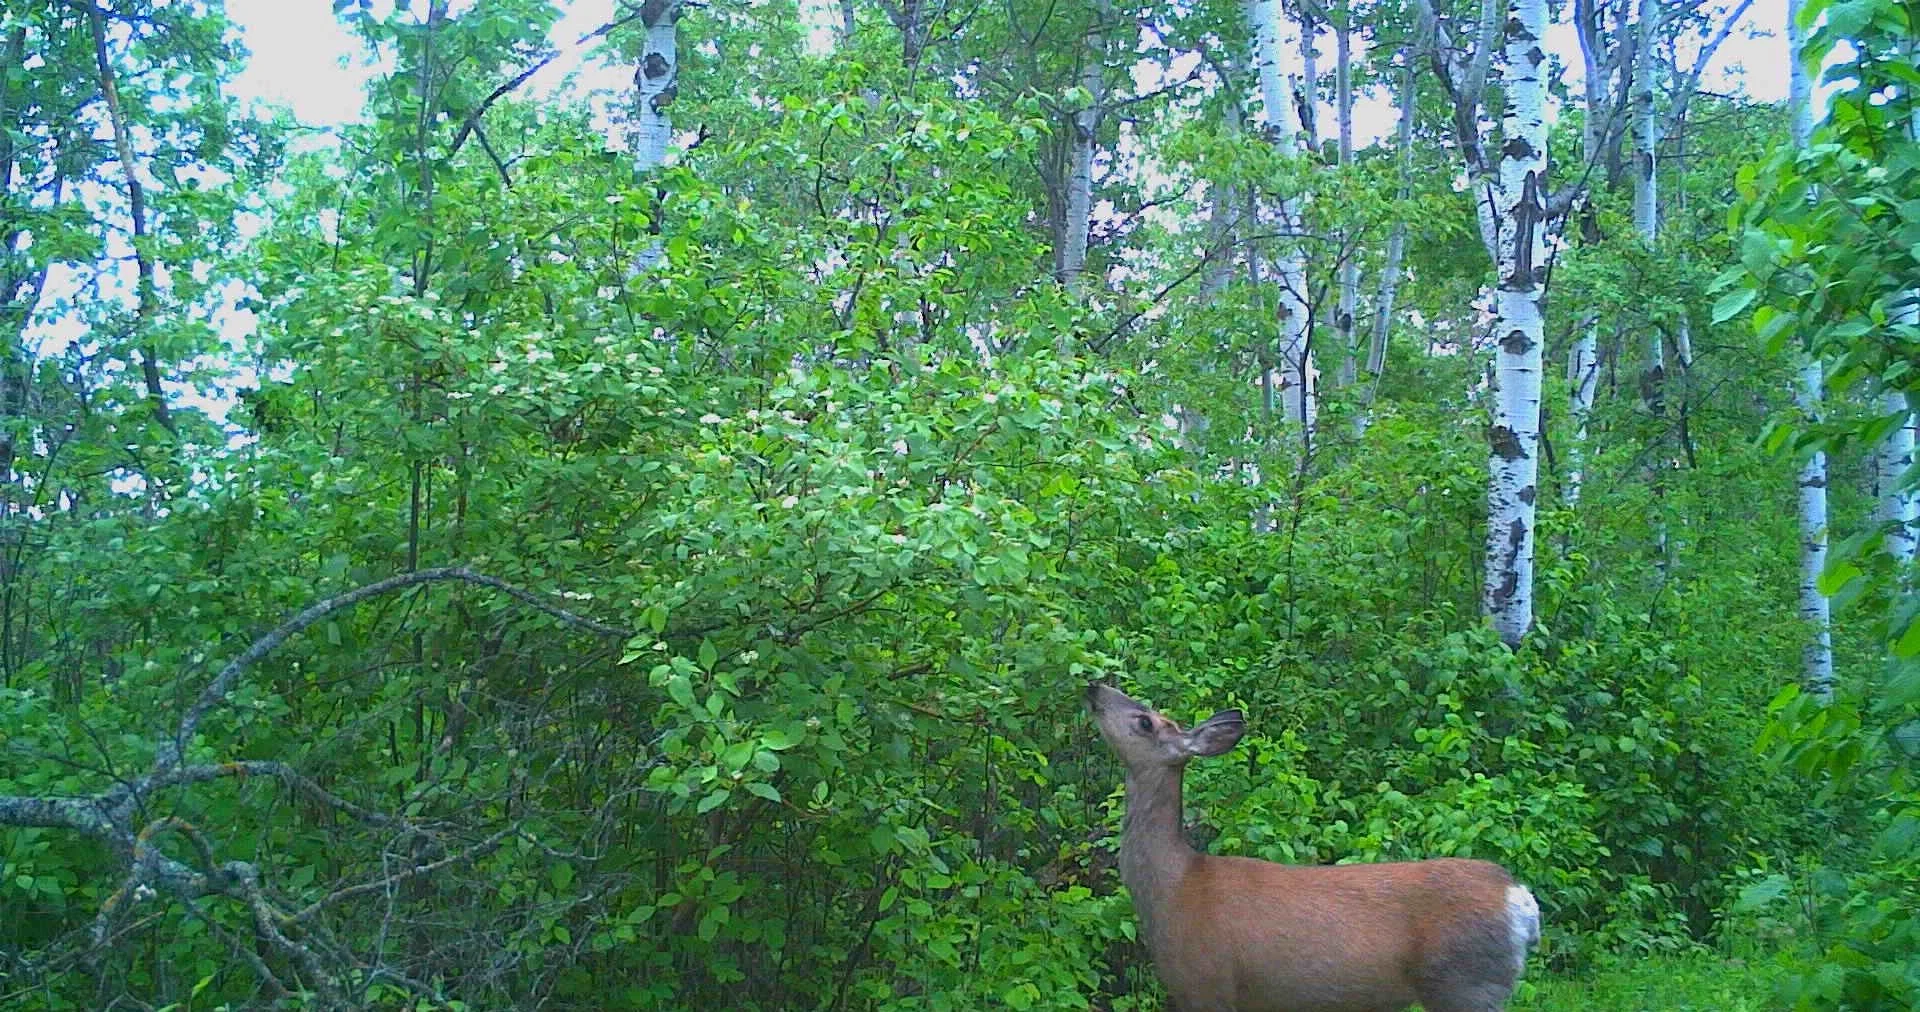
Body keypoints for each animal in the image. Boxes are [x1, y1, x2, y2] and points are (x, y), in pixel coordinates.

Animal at [1085, 683, 1540, 1012]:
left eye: (1145, 722)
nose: (1095, 686)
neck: (1173, 887)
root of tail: (1519, 899)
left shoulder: (1207, 983)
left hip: (1465, 984)